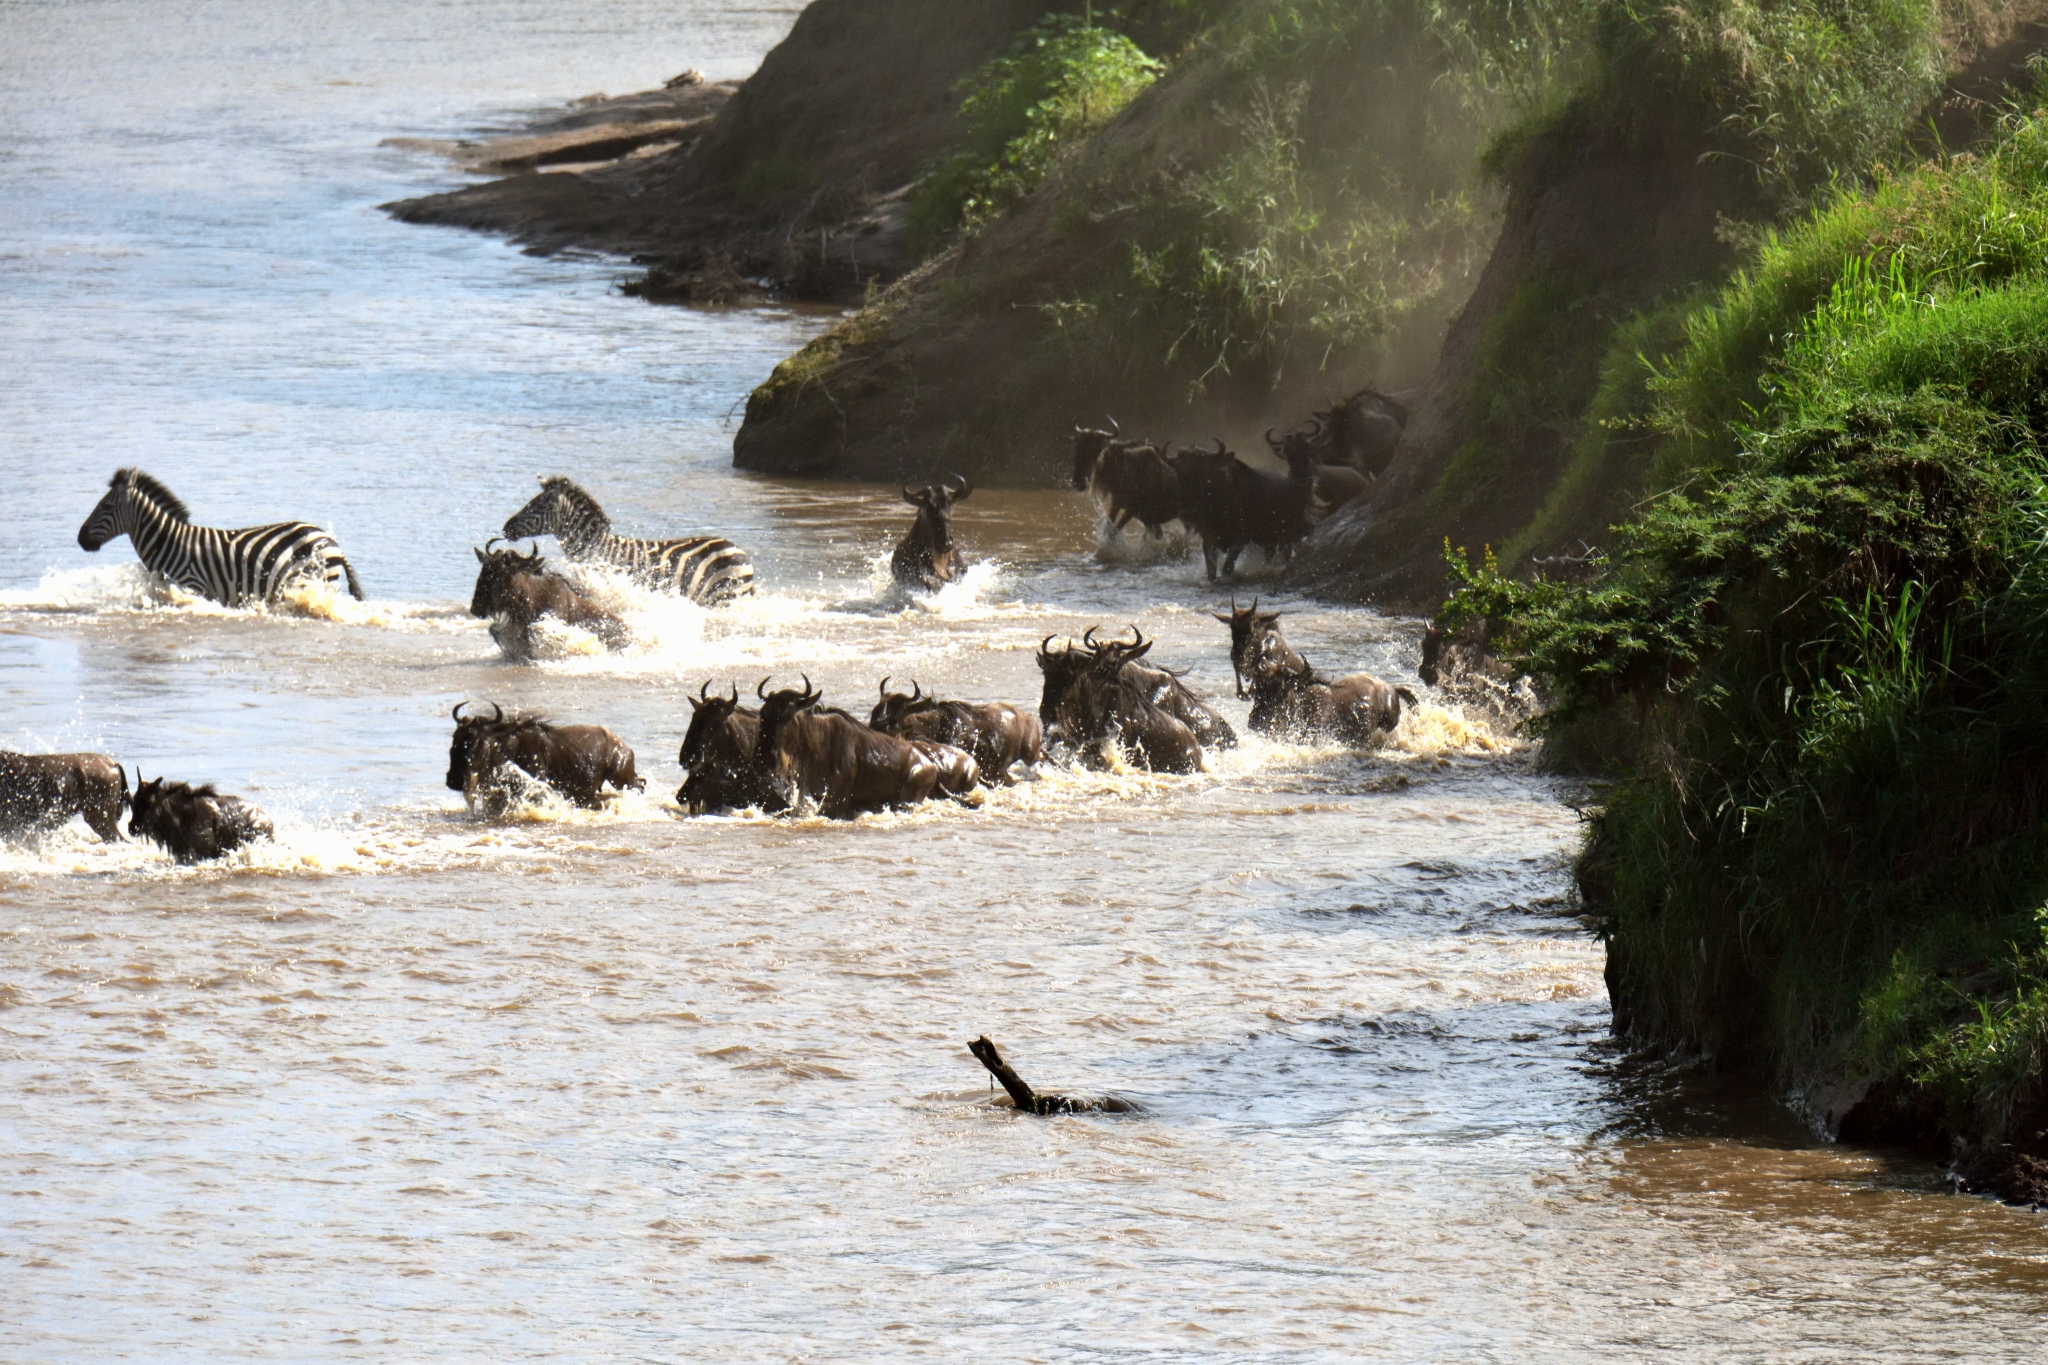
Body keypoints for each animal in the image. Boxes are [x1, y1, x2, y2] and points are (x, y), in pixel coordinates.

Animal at [76, 470, 368, 609]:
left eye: (105, 506)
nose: (80, 539)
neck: (169, 542)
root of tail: (331, 540)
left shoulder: (193, 586)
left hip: (318, 581)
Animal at [499, 480, 757, 609]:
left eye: (538, 506)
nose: (506, 527)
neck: (597, 548)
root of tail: (739, 550)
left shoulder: (604, 585)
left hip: (724, 595)